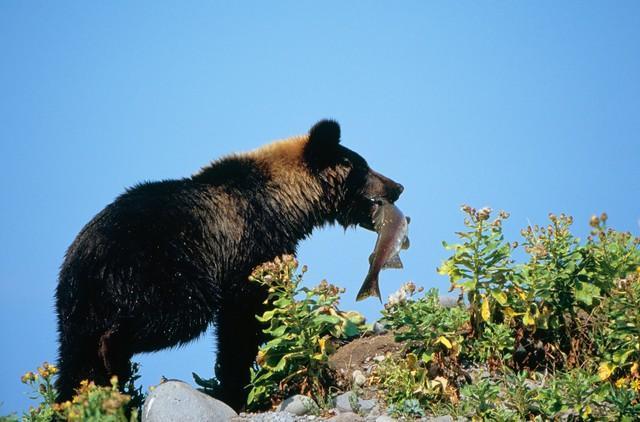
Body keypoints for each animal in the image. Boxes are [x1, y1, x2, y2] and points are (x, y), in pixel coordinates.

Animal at [56, 120, 404, 410]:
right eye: (363, 167)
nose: (398, 187)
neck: (284, 203)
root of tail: (87, 260)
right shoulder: (250, 243)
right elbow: (245, 315)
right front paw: (235, 386)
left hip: (76, 308)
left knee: (74, 362)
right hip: (158, 269)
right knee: (176, 315)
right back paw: (115, 358)